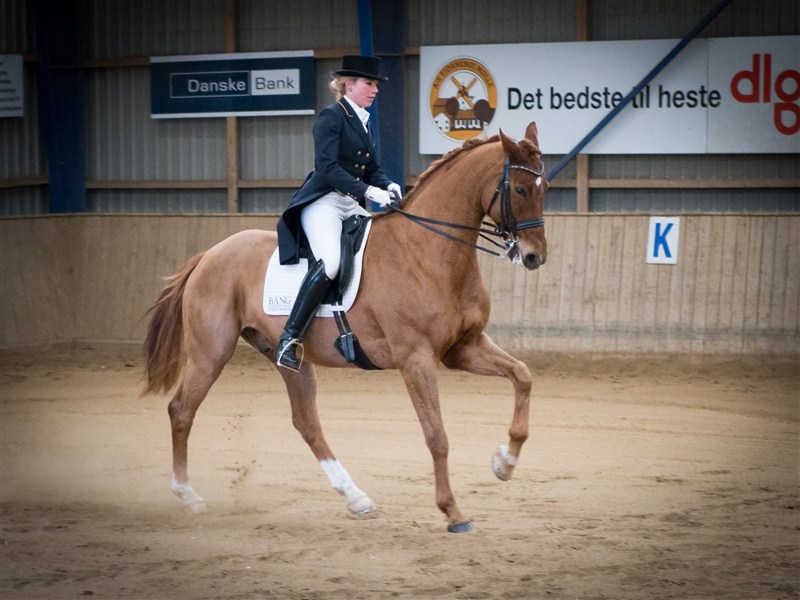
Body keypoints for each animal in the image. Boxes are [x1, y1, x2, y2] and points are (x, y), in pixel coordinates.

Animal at [142, 122, 552, 536]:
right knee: (181, 410)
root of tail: (209, 254)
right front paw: (453, 513)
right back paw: (189, 496)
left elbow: (523, 376)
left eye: (544, 186)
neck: (428, 252)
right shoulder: (416, 359)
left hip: (288, 359)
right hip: (211, 353)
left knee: (306, 422)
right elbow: (436, 435)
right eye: (520, 189)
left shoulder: (463, 348)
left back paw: (356, 498)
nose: (535, 257)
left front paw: (504, 463)